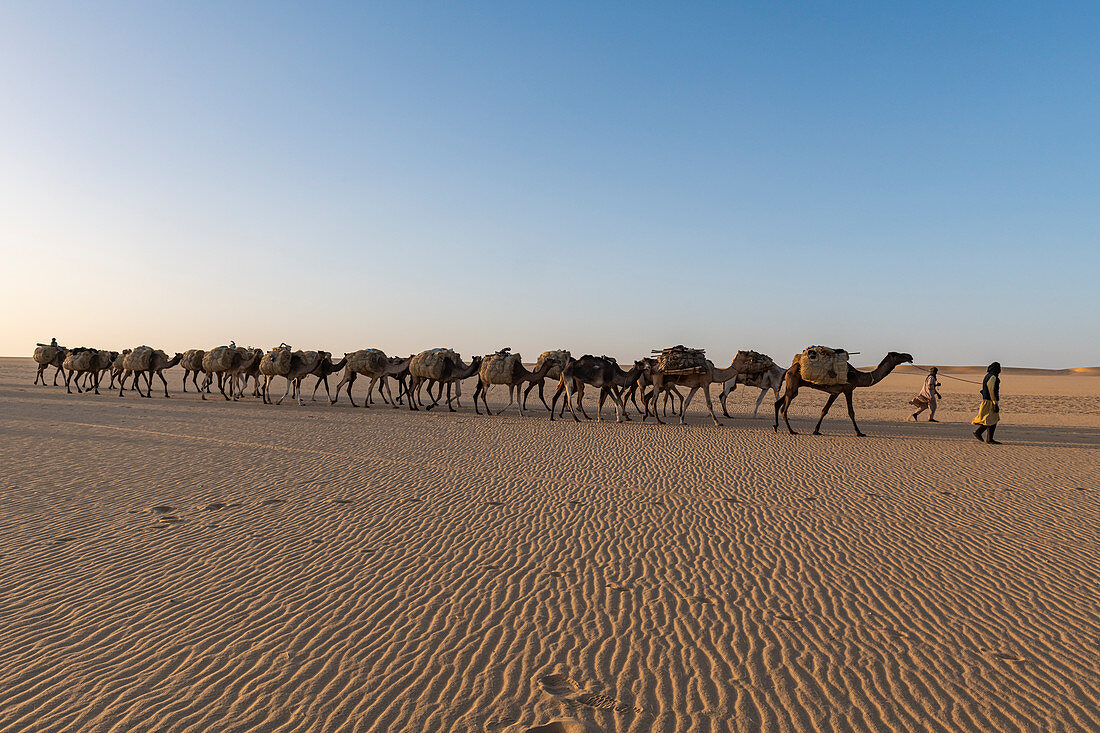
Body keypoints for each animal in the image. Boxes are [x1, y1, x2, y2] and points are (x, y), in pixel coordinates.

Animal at [774, 349, 919, 433]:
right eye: (897, 354)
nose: (909, 355)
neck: (858, 376)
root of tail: (788, 369)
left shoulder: (835, 393)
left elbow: (824, 410)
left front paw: (816, 430)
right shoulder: (848, 389)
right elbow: (851, 412)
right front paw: (859, 432)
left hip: (793, 387)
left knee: (778, 403)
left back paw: (776, 427)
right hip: (793, 385)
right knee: (784, 408)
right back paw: (791, 431)